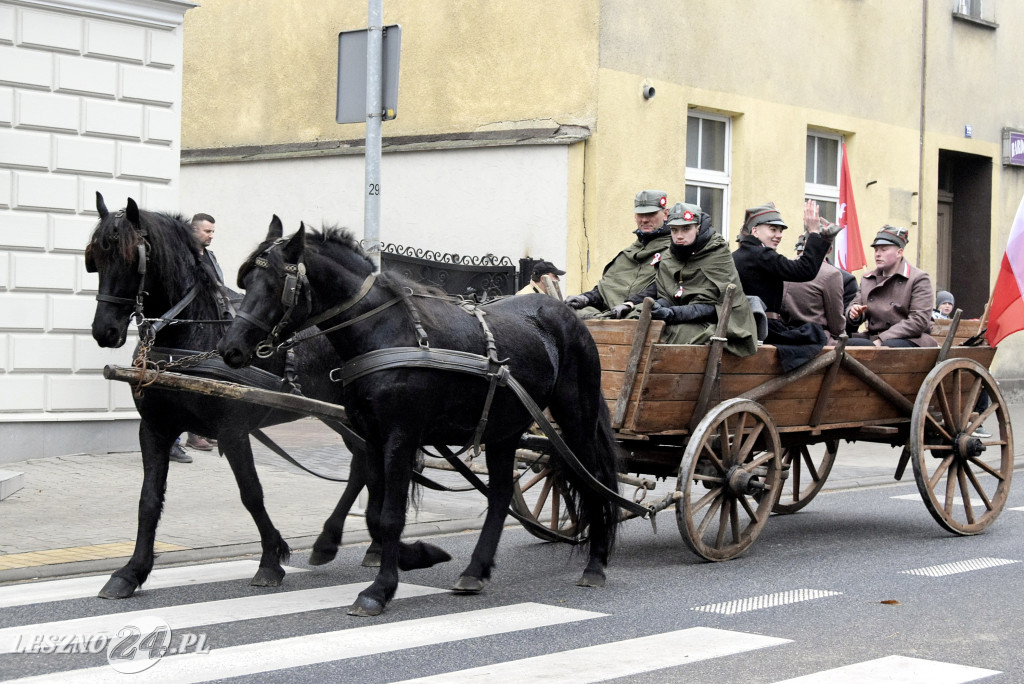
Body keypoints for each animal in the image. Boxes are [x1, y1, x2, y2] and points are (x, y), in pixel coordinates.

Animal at [90, 193, 450, 597]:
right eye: (96, 258)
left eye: (130, 256)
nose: (104, 331)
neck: (193, 335)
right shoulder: (154, 428)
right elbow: (149, 500)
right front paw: (131, 571)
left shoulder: (232, 431)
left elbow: (251, 493)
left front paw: (270, 559)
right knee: (363, 464)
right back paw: (335, 542)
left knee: (369, 467)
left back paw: (358, 544)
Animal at [219, 222, 618, 618]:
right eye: (246, 280)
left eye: (275, 283)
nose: (230, 349)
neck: (382, 331)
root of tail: (565, 313)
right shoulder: (372, 436)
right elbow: (375, 515)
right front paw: (418, 555)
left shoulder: (401, 436)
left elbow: (390, 516)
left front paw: (379, 589)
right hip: (504, 430)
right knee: (502, 493)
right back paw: (475, 570)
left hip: (575, 418)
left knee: (594, 480)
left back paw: (596, 564)